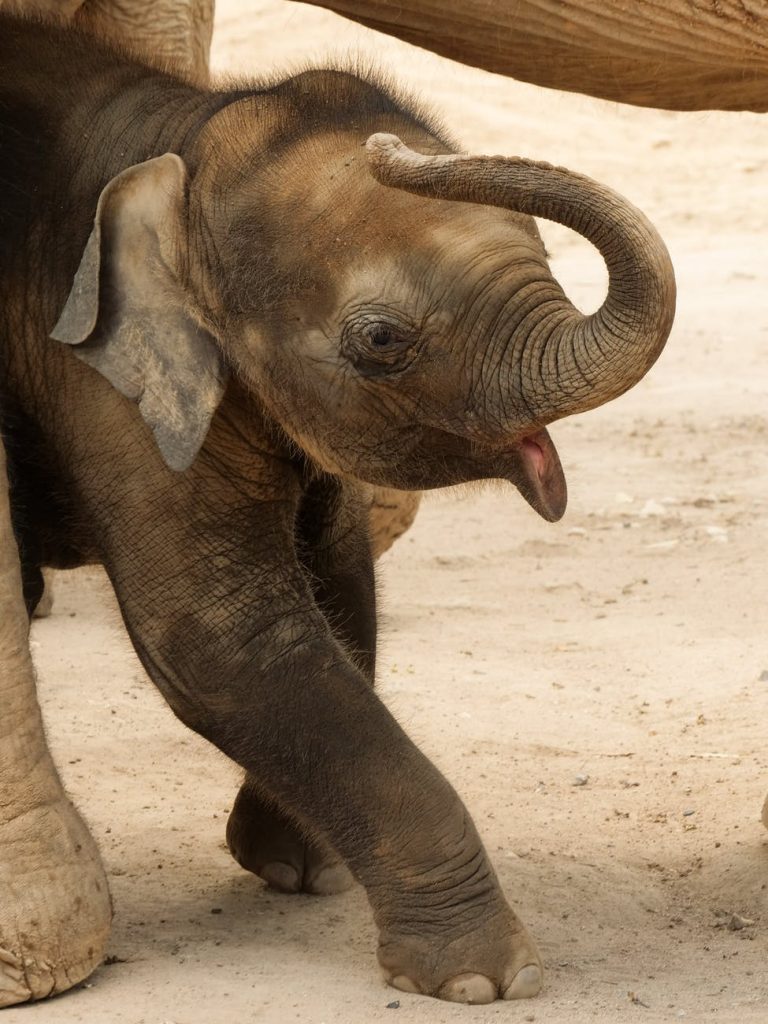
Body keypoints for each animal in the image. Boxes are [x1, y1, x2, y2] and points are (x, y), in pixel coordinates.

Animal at [0, 9, 671, 1007]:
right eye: (381, 340)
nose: (393, 151)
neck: (183, 136)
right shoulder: (95, 369)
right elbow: (220, 633)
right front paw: (486, 980)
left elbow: (339, 573)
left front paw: (300, 870)